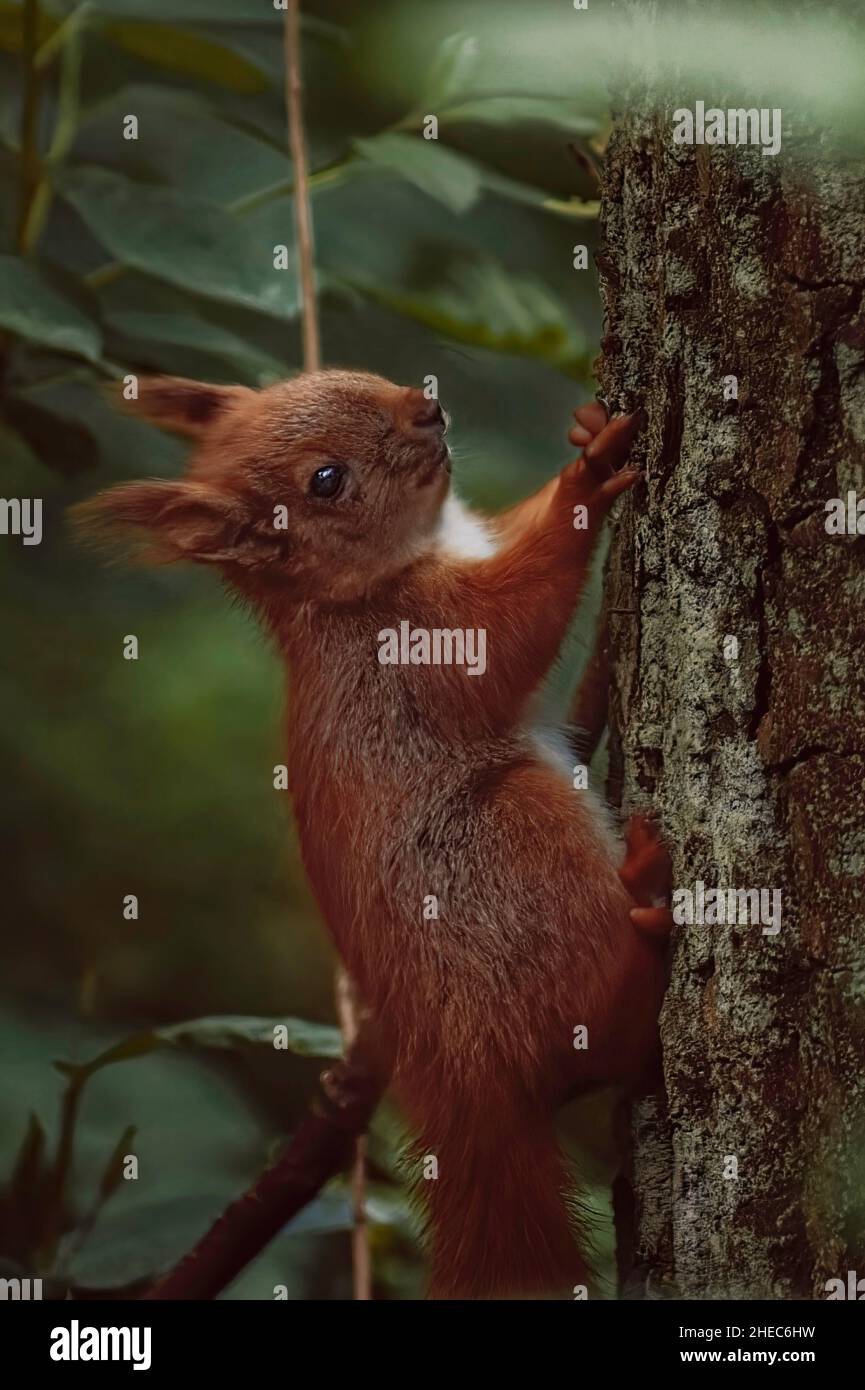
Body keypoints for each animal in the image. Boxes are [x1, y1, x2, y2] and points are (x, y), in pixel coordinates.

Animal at [76, 372, 670, 1301]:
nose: (425, 410)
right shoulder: (414, 650)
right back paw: (644, 927)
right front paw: (585, 481)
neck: (347, 594)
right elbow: (505, 631)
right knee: (606, 1035)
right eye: (326, 481)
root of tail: (459, 1071)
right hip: (511, 844)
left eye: (334, 379)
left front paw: (578, 437)